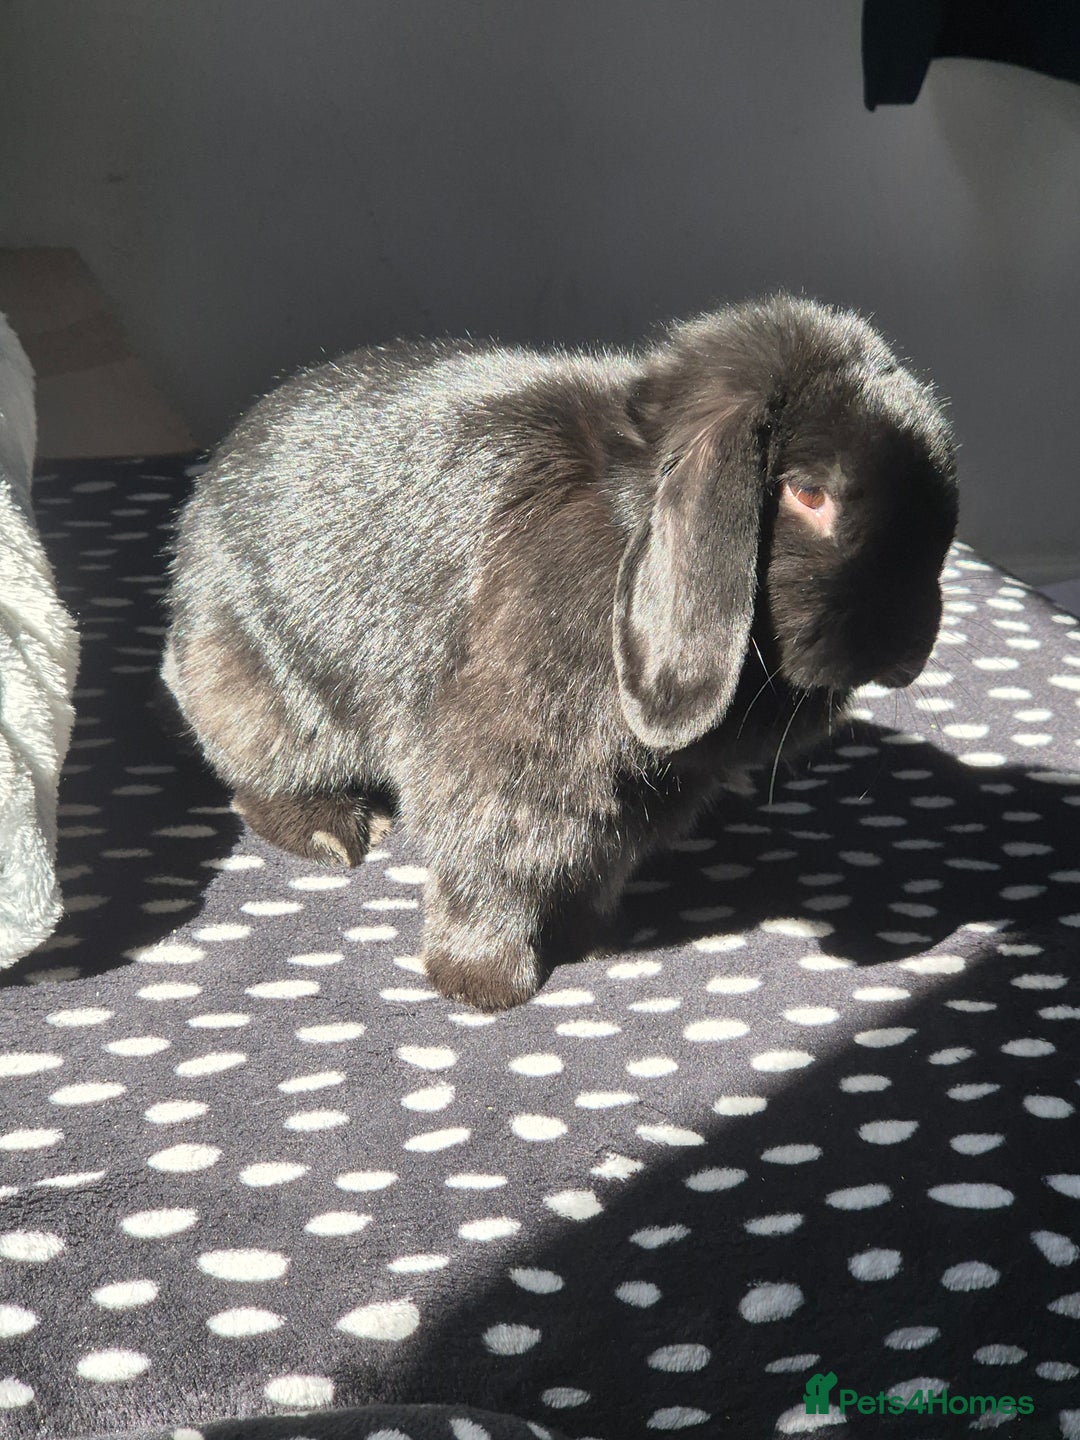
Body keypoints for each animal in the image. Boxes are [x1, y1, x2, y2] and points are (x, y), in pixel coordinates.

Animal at [163, 294, 958, 1010]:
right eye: (809, 493)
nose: (907, 648)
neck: (628, 516)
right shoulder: (499, 768)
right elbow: (488, 875)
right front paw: (483, 985)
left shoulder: (630, 803)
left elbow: (592, 869)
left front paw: (594, 941)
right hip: (258, 690)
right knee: (255, 778)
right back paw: (333, 833)